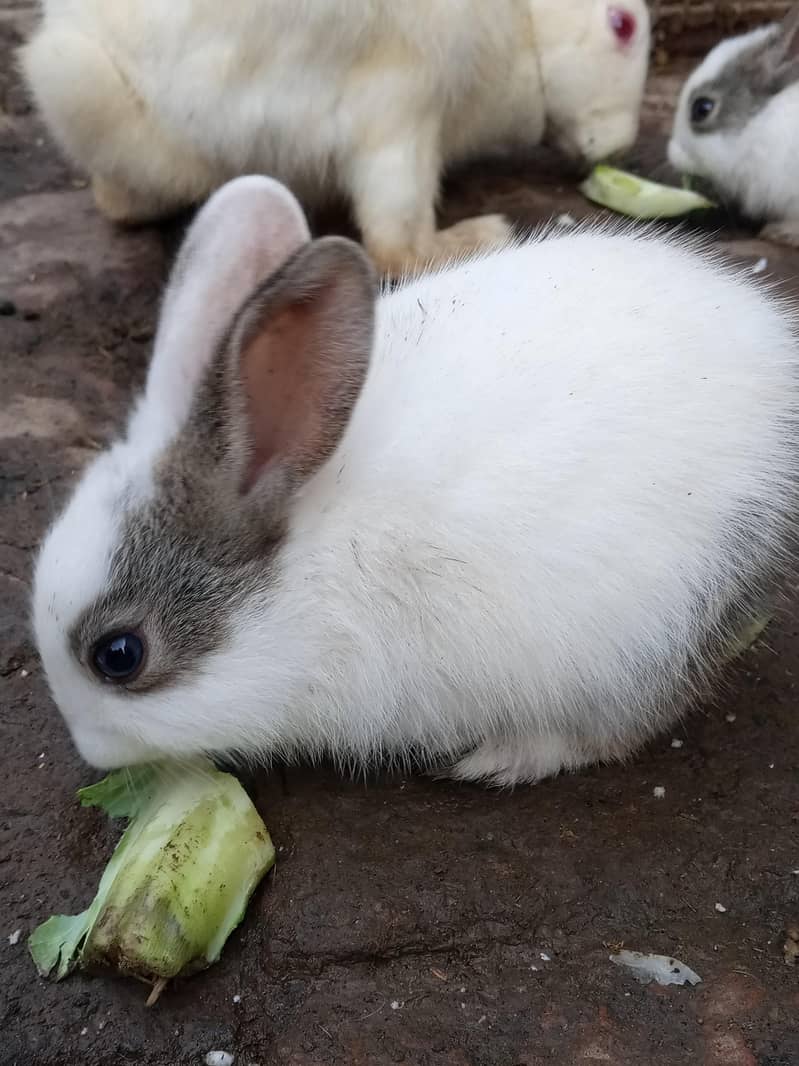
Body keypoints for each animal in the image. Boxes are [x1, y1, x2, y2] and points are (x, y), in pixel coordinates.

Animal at [19, 0, 651, 279]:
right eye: (622, 24)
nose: (619, 147)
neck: (527, 21)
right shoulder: (401, 105)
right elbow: (392, 242)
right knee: (395, 243)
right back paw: (478, 237)